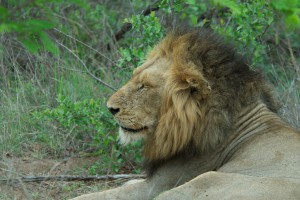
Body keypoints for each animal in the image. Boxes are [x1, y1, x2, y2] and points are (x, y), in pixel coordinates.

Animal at [72, 28, 300, 199]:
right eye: (134, 77)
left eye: (144, 86)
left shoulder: (156, 186)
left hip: (206, 180)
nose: (110, 108)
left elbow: (101, 195)